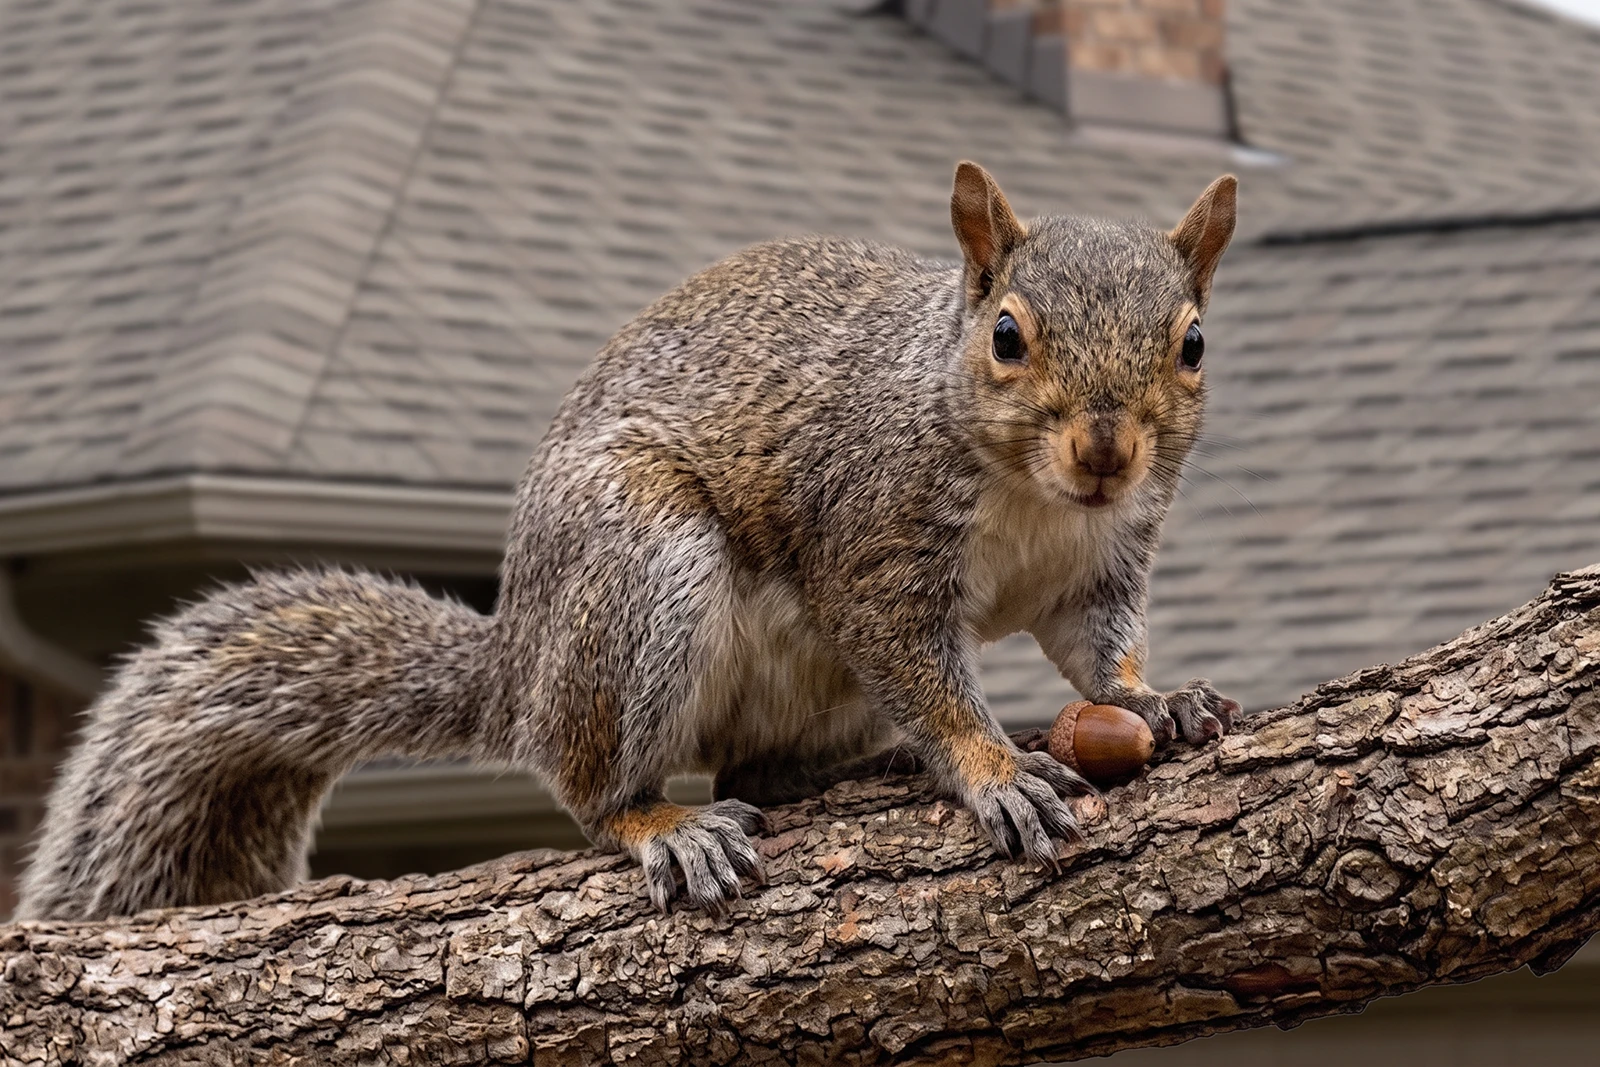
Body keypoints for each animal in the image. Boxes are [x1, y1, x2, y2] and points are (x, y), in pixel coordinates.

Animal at [18, 162, 1241, 921]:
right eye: (1006, 336)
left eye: (1191, 344)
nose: (1104, 450)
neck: (1043, 502)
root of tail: (519, 666)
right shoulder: (871, 540)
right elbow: (921, 668)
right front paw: (992, 767)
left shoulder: (1105, 561)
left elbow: (1095, 649)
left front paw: (1154, 697)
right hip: (643, 568)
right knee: (591, 784)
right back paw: (664, 820)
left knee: (759, 764)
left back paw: (858, 765)